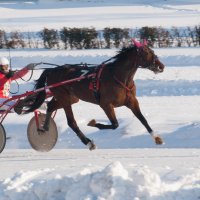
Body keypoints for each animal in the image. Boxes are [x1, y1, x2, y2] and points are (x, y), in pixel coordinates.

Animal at [22, 39, 165, 150]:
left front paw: (157, 138)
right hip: (64, 97)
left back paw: (44, 128)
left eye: (152, 51)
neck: (118, 77)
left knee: (51, 106)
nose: (161, 66)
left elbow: (143, 119)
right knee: (71, 122)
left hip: (70, 98)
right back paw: (88, 143)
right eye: (145, 52)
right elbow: (115, 124)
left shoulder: (132, 101)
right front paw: (93, 123)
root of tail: (51, 70)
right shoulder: (106, 104)